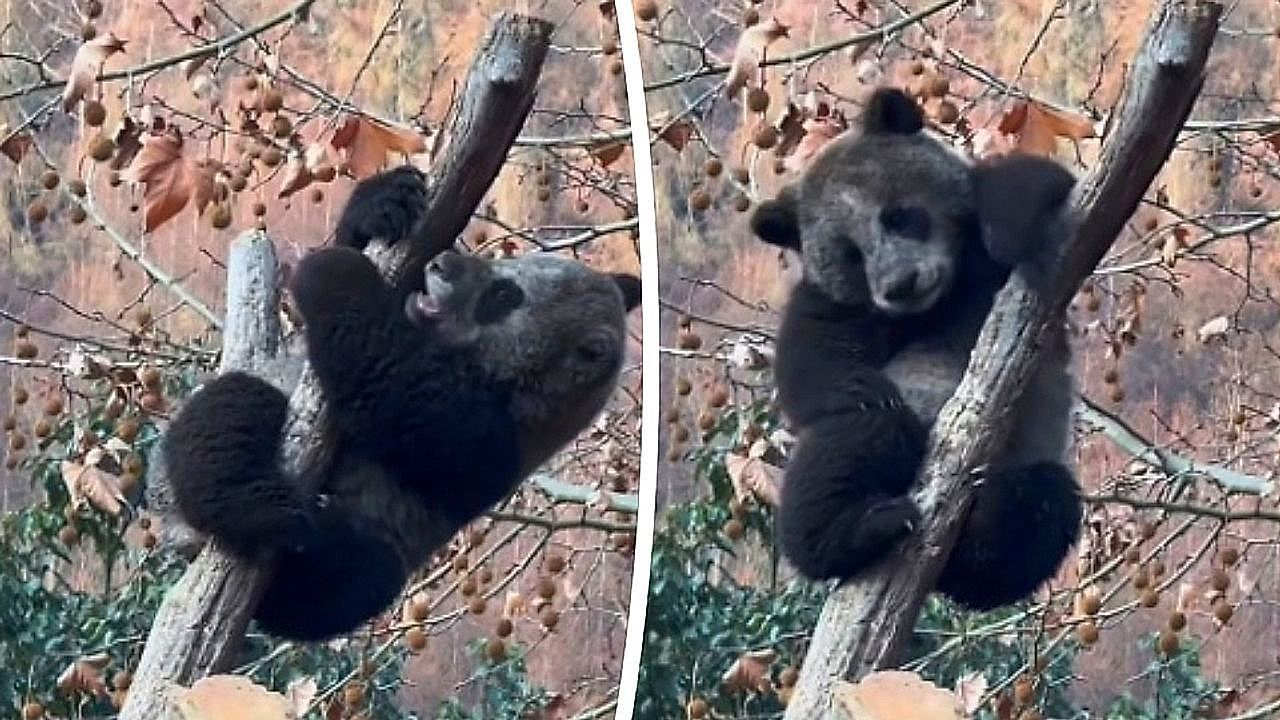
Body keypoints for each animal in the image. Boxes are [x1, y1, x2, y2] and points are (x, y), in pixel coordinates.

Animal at [163, 166, 642, 640]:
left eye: (505, 295)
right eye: (511, 267)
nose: (442, 264)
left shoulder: (490, 443)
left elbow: (394, 388)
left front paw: (334, 271)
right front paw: (383, 203)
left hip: (379, 548)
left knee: (350, 580)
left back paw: (287, 524)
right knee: (227, 416)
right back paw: (256, 504)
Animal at [749, 87, 1082, 610]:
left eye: (900, 217)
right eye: (851, 254)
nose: (901, 284)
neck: (937, 302)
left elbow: (1025, 193)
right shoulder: (832, 303)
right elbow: (809, 368)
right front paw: (862, 386)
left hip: (1028, 464)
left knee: (1041, 510)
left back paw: (985, 524)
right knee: (857, 445)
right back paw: (865, 527)